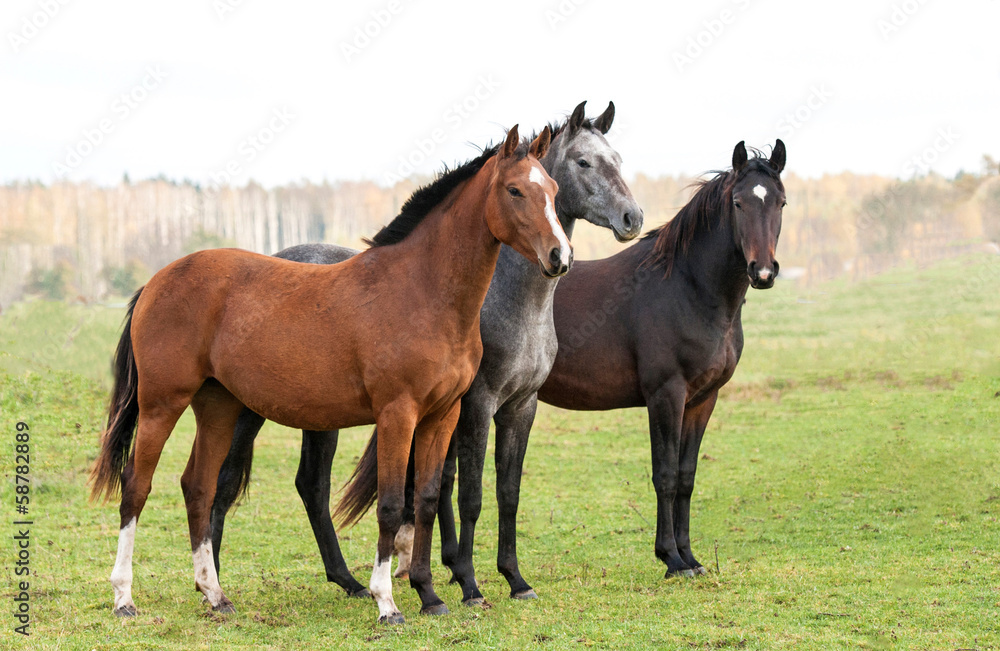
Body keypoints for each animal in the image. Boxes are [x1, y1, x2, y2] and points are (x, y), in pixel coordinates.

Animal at [90, 126, 572, 628]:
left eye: (554, 189)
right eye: (514, 190)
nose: (560, 256)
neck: (421, 291)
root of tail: (156, 281)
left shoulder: (443, 415)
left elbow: (425, 498)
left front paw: (429, 594)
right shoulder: (398, 414)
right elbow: (391, 504)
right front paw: (387, 602)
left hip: (218, 406)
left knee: (198, 487)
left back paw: (215, 594)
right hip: (163, 404)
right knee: (136, 485)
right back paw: (124, 597)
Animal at [212, 102, 644, 608]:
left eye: (617, 158)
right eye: (584, 162)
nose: (632, 218)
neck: (511, 303)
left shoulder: (520, 407)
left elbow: (504, 492)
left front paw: (512, 579)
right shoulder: (475, 405)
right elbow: (466, 493)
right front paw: (465, 579)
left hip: (317, 415)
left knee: (311, 486)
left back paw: (348, 581)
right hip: (249, 410)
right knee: (225, 480)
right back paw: (216, 584)